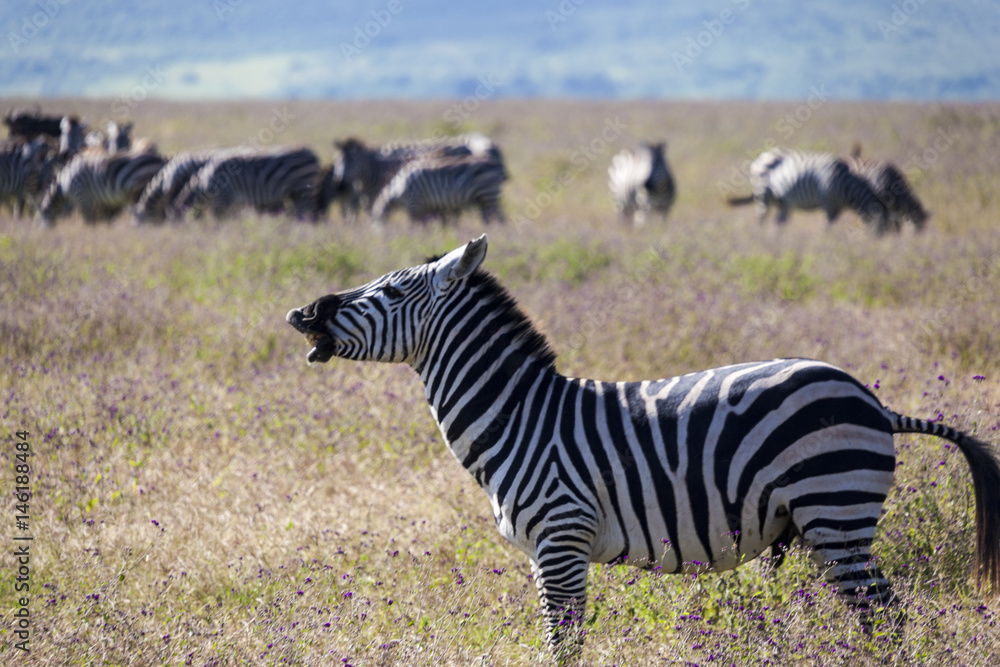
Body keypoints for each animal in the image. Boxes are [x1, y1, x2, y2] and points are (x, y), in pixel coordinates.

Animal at [174, 147, 318, 220]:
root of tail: (312, 153)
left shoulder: (224, 197)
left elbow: (220, 220)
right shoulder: (234, 201)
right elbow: (233, 218)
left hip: (303, 190)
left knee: (307, 213)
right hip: (297, 193)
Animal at [288, 236, 1000, 656]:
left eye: (389, 290)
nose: (302, 311)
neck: (520, 417)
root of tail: (870, 400)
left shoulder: (561, 539)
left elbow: (563, 646)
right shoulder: (547, 551)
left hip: (837, 508)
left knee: (886, 617)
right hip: (829, 520)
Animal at [370, 155, 508, 226]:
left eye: (375, 223)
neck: (398, 189)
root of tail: (495, 163)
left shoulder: (414, 203)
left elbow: (414, 226)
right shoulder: (428, 207)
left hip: (487, 194)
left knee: (499, 217)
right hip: (483, 198)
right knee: (489, 217)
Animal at [728, 149, 892, 235]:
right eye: (881, 230)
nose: (880, 247)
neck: (846, 187)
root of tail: (762, 155)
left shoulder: (836, 207)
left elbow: (830, 224)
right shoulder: (828, 202)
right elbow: (826, 225)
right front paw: (825, 241)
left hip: (782, 200)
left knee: (779, 220)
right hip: (763, 194)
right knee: (761, 217)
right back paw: (760, 236)